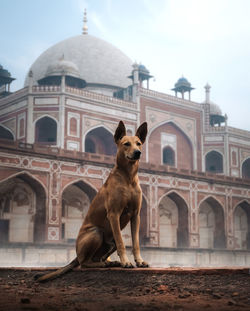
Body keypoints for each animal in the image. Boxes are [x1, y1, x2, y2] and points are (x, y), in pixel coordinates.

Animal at [37, 122, 148, 282]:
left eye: (138, 143)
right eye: (126, 144)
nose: (138, 152)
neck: (128, 177)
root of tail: (76, 255)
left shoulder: (135, 215)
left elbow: (136, 242)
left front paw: (139, 261)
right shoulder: (113, 214)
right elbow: (121, 242)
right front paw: (126, 262)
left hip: (109, 242)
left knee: (97, 257)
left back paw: (109, 262)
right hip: (96, 232)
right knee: (84, 263)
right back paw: (104, 264)